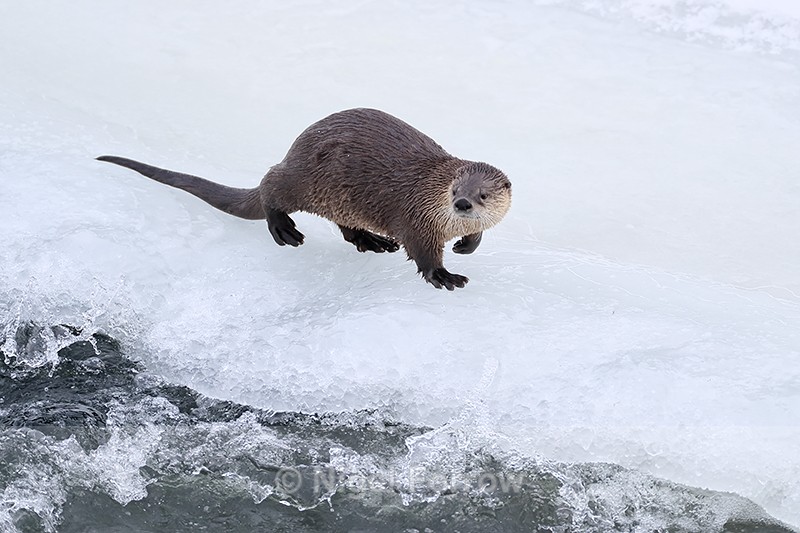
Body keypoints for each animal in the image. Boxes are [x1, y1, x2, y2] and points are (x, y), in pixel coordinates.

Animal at [97, 108, 511, 290]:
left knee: (345, 225)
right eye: (455, 191)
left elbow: (480, 234)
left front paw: (466, 246)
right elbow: (422, 253)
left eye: (482, 194)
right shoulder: (417, 218)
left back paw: (371, 240)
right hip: (303, 180)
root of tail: (293, 149)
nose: (461, 204)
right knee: (270, 185)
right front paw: (444, 275)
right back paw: (284, 229)